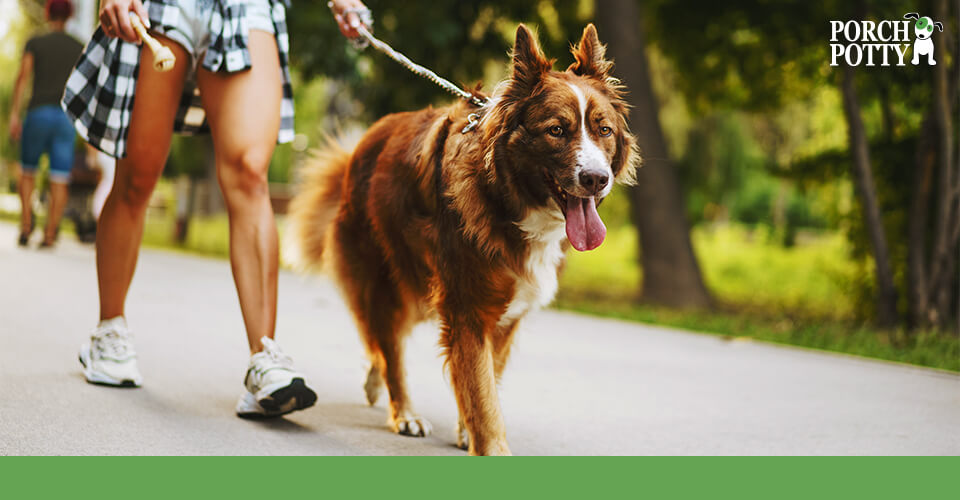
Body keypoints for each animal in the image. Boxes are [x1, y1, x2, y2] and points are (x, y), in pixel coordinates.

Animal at [284, 23, 636, 456]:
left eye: (604, 130)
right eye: (556, 130)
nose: (597, 179)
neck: (506, 197)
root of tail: (359, 149)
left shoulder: (505, 314)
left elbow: (485, 380)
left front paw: (469, 429)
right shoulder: (468, 308)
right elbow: (481, 391)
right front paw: (492, 446)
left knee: (382, 341)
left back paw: (374, 382)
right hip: (388, 279)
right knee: (389, 345)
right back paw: (404, 412)